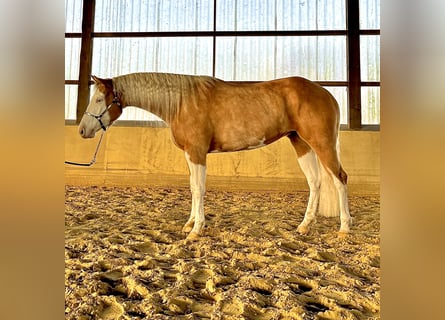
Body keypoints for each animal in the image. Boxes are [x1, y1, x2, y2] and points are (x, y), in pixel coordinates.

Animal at [79, 72, 350, 238]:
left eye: (99, 99)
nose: (82, 130)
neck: (181, 102)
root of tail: (326, 93)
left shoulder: (197, 152)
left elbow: (199, 189)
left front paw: (196, 230)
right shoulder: (190, 154)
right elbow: (192, 187)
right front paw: (189, 223)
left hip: (321, 143)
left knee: (339, 179)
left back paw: (344, 228)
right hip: (300, 143)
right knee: (315, 182)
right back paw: (304, 226)